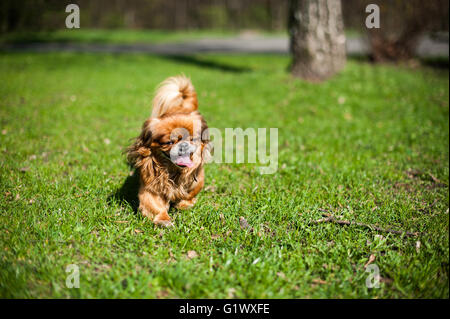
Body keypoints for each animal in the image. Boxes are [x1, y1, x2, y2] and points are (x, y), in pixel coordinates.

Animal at [126, 76, 211, 226]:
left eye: (192, 139)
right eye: (169, 142)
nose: (183, 145)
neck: (174, 171)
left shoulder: (197, 180)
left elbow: (190, 193)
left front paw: (184, 204)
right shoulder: (151, 188)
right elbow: (155, 205)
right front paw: (163, 220)